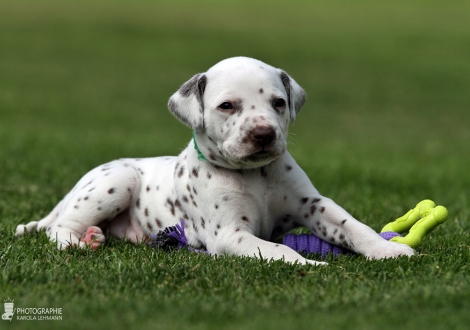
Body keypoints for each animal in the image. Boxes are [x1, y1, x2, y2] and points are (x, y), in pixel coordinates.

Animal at [14, 56, 414, 266]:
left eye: (278, 103)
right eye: (227, 106)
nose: (264, 134)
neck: (254, 175)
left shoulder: (313, 205)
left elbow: (352, 226)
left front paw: (389, 249)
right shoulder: (230, 235)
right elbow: (279, 249)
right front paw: (312, 264)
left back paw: (97, 236)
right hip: (116, 182)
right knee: (58, 227)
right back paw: (79, 242)